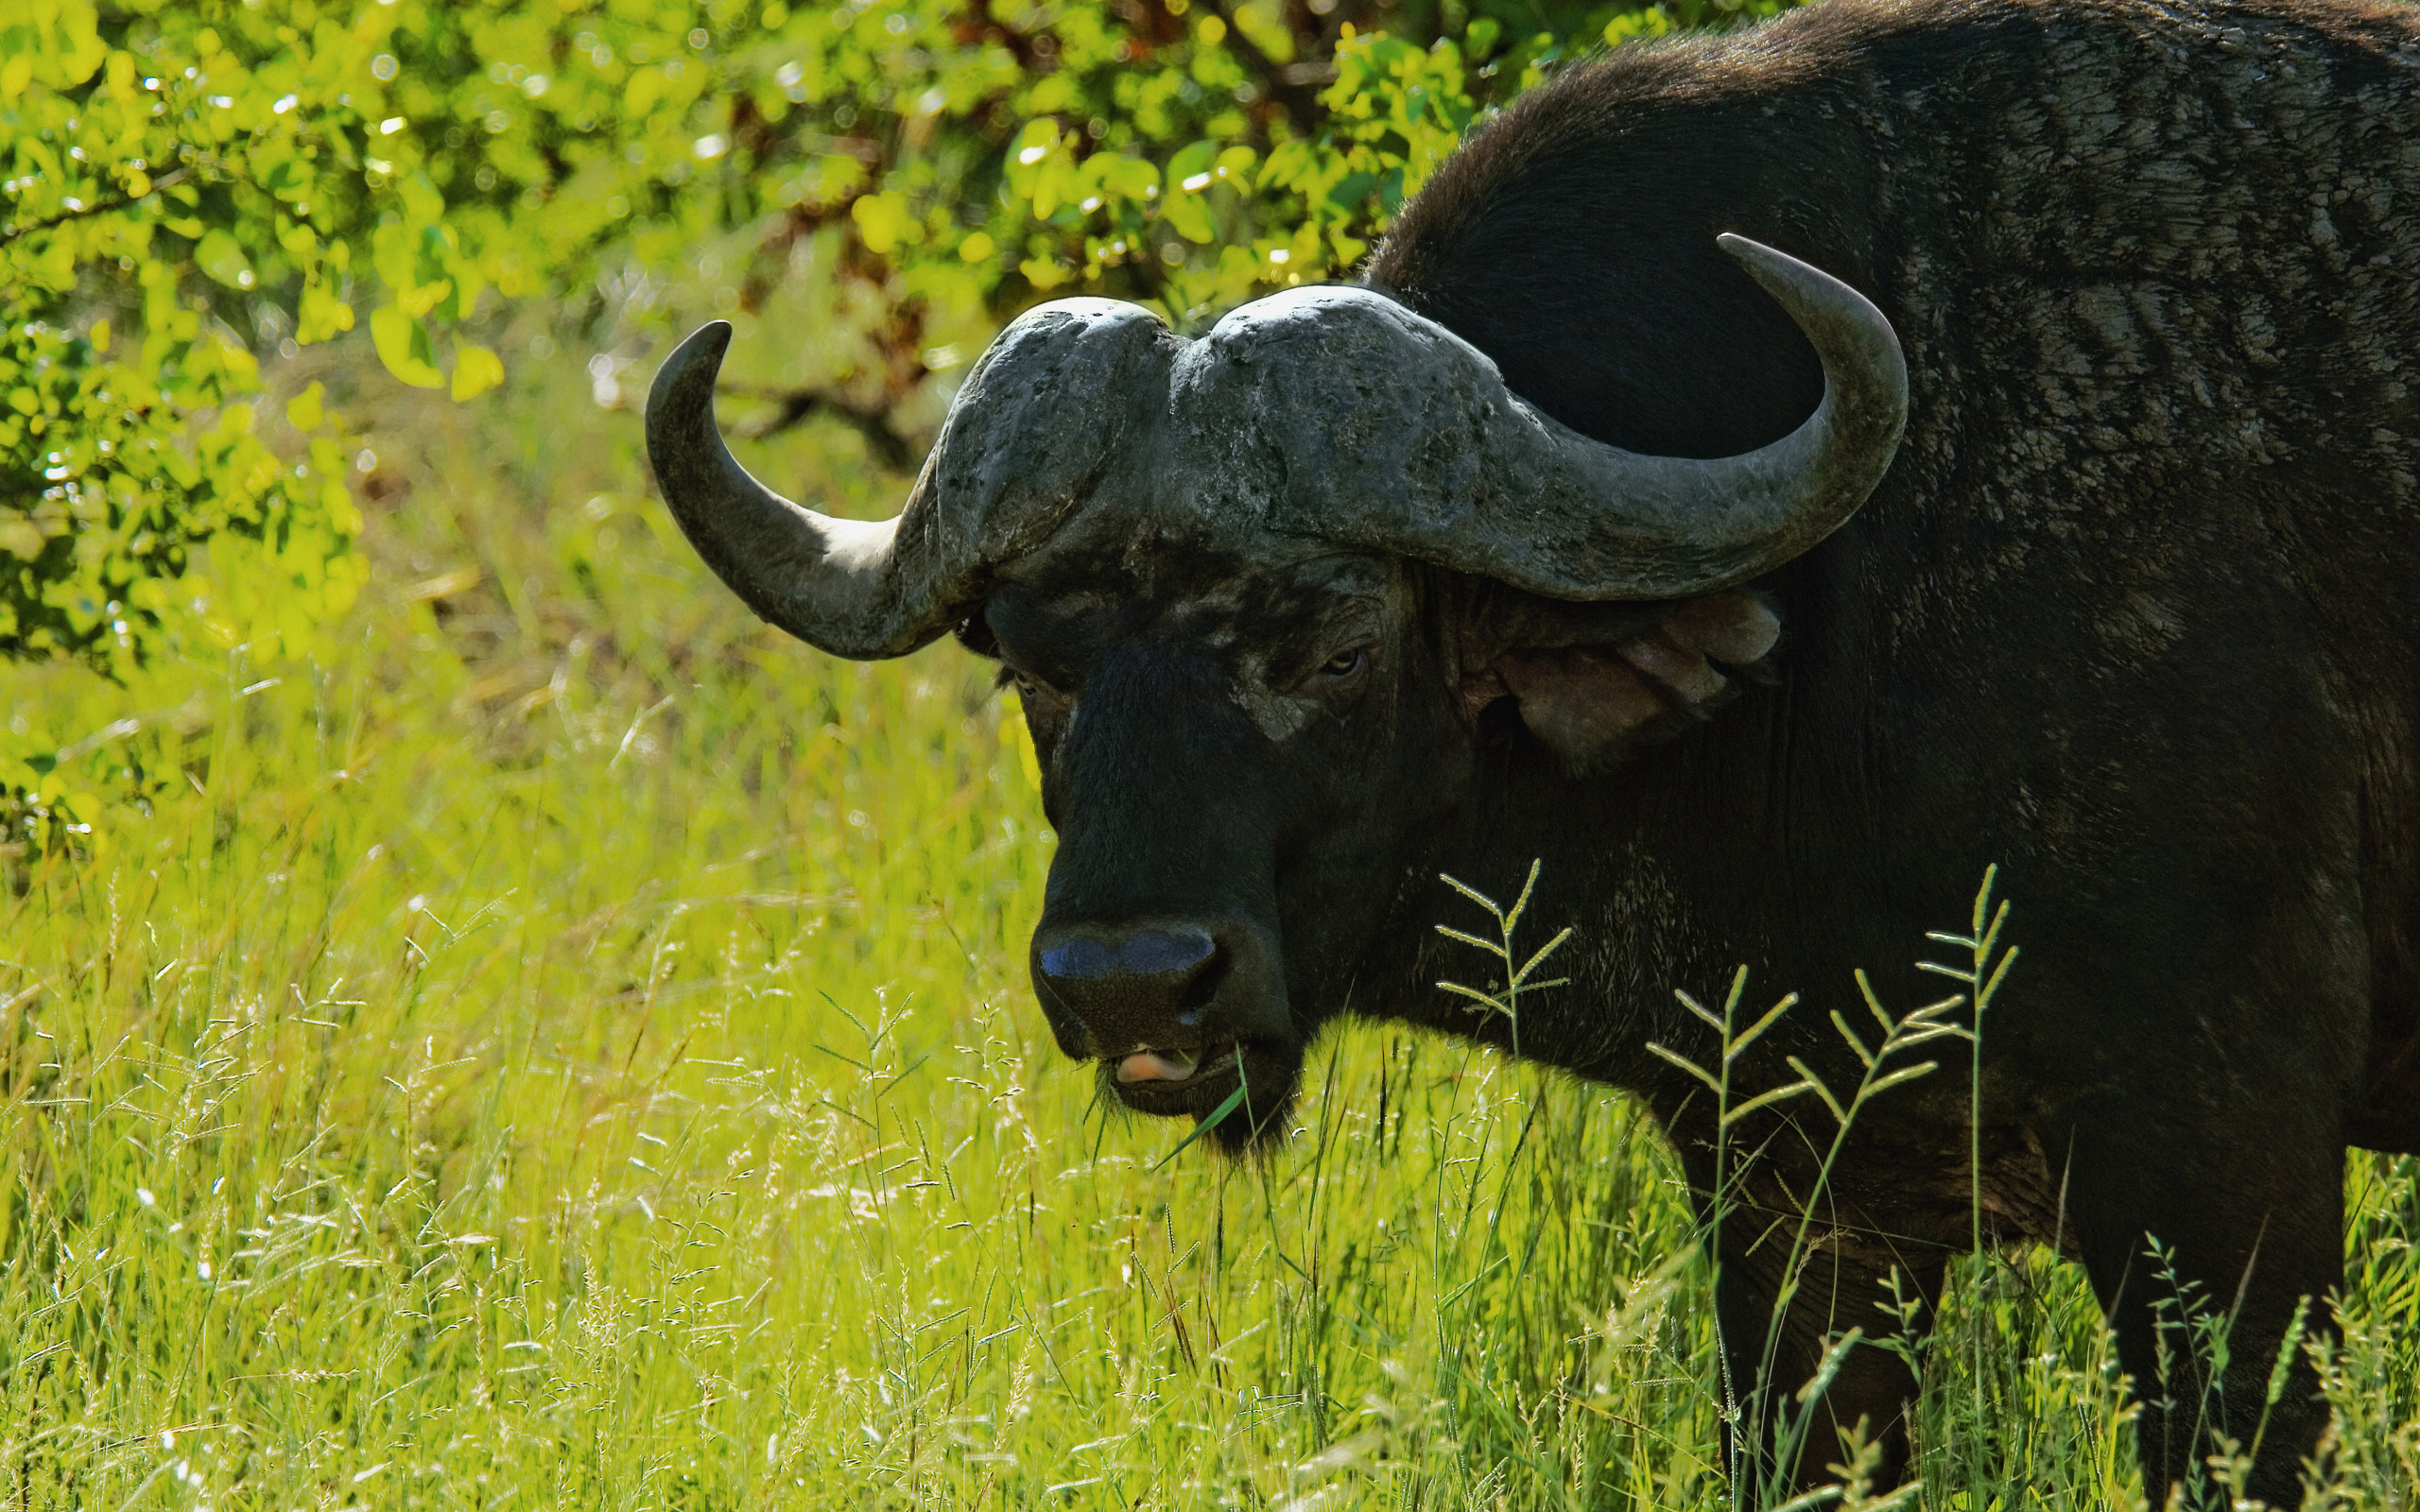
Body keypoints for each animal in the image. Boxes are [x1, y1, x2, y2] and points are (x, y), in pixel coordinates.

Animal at [638, 0, 2420, 1489]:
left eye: (1340, 646)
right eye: (1026, 667)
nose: (1133, 984)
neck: (1845, 616)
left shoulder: (2227, 1180)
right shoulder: (1799, 1200)